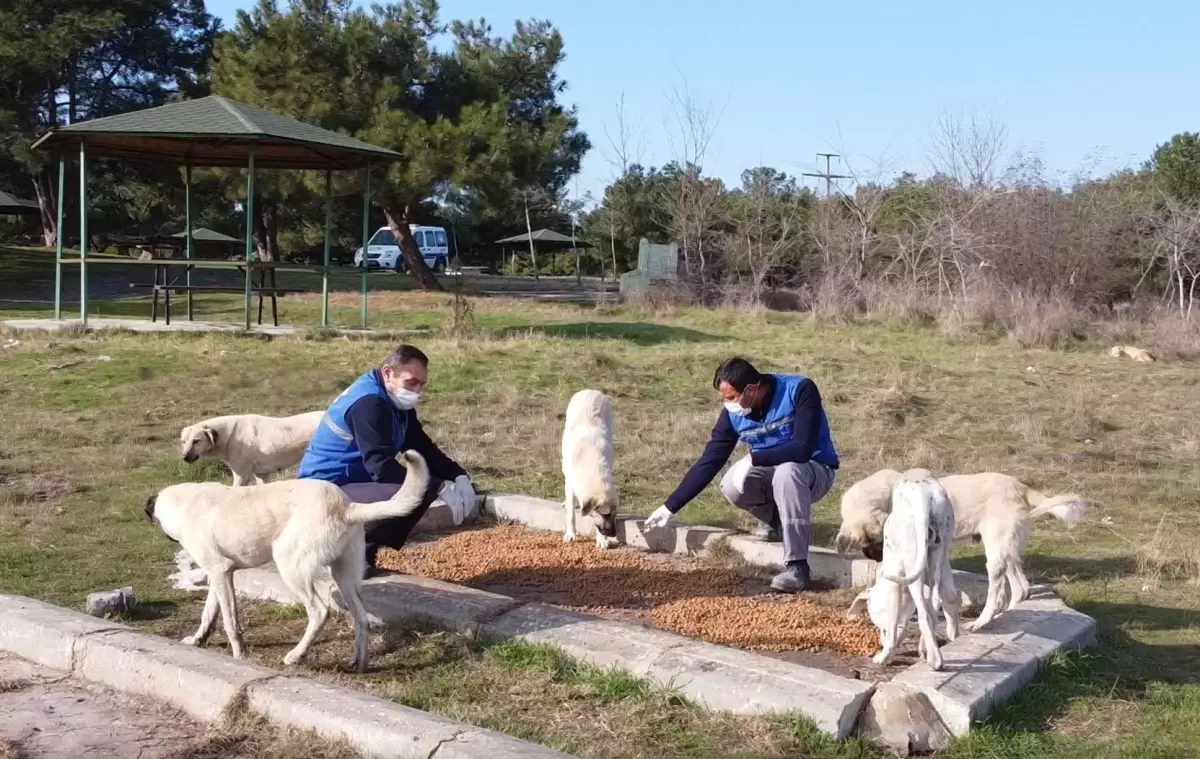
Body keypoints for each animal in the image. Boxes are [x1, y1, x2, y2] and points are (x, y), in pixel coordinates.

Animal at [147, 451, 432, 667]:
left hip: (290, 566)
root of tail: (346, 506)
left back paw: (297, 655)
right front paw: (198, 640)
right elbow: (209, 613)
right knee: (361, 618)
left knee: (319, 612)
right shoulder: (221, 575)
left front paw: (239, 654)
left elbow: (230, 621)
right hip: (344, 576)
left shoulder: (219, 571)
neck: (184, 503)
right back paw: (358, 663)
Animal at [559, 391, 619, 545]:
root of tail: (591, 391)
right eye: (606, 514)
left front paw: (601, 540)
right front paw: (570, 534)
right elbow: (571, 514)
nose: (613, 534)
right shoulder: (570, 484)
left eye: (615, 514)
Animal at [835, 468, 1089, 629]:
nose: (877, 557)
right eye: (865, 545)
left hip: (996, 551)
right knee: (1021, 588)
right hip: (1006, 550)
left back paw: (981, 622)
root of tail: (1020, 486)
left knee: (998, 590)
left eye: (880, 540)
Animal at [849, 468, 960, 667]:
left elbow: (894, 628)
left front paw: (885, 655)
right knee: (934, 605)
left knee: (924, 614)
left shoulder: (894, 586)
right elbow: (948, 600)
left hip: (912, 560)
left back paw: (935, 660)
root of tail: (925, 495)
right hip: (937, 554)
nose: (880, 640)